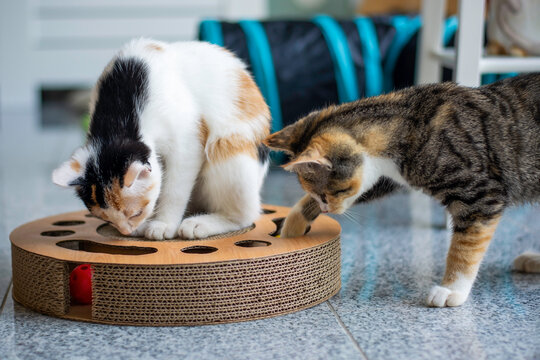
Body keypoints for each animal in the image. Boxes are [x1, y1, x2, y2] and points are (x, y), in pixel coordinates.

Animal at [52, 38, 270, 239]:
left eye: (135, 213)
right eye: (107, 219)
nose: (126, 231)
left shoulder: (188, 142)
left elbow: (174, 190)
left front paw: (163, 224)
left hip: (228, 149)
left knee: (246, 215)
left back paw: (201, 223)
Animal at [264, 72, 540, 306]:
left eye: (327, 194)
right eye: (319, 196)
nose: (326, 209)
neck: (410, 121)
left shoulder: (480, 196)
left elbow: (465, 247)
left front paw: (452, 289)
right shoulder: (386, 175)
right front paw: (293, 225)